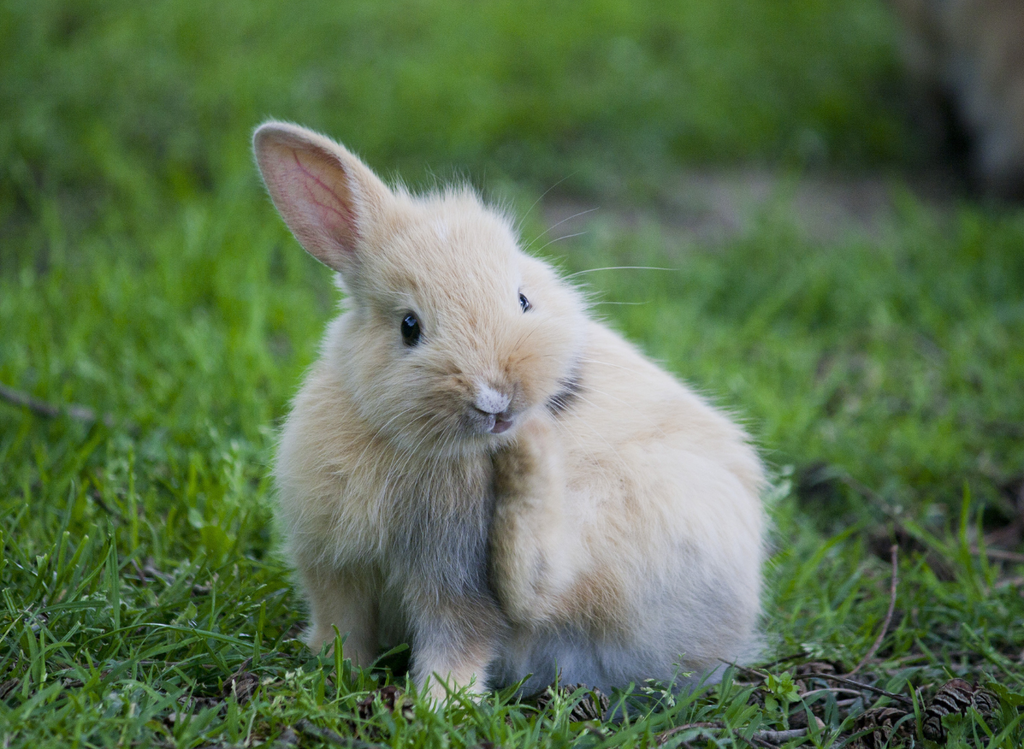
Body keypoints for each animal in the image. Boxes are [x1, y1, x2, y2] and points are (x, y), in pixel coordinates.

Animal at [253, 119, 770, 700]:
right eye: (409, 326)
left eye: (523, 300)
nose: (496, 400)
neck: (411, 443)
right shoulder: (334, 571)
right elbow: (342, 628)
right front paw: (328, 668)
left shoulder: (454, 582)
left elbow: (459, 644)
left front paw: (440, 705)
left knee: (541, 586)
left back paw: (532, 448)